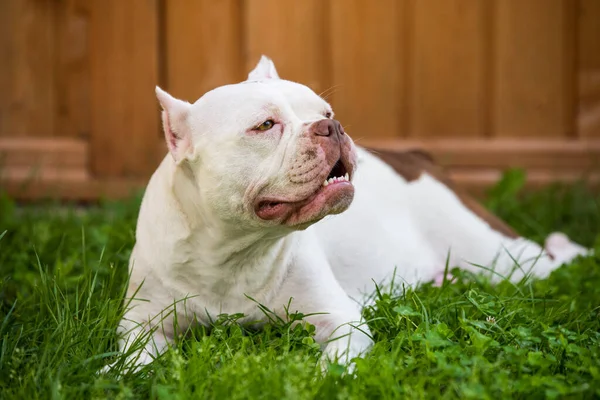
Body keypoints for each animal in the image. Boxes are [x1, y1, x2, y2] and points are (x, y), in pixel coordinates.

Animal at [104, 54, 592, 374]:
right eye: (265, 125)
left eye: (326, 111)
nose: (332, 125)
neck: (232, 250)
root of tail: (418, 157)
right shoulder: (142, 326)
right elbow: (135, 360)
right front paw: (121, 376)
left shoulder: (341, 319)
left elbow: (334, 362)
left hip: (501, 259)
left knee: (551, 257)